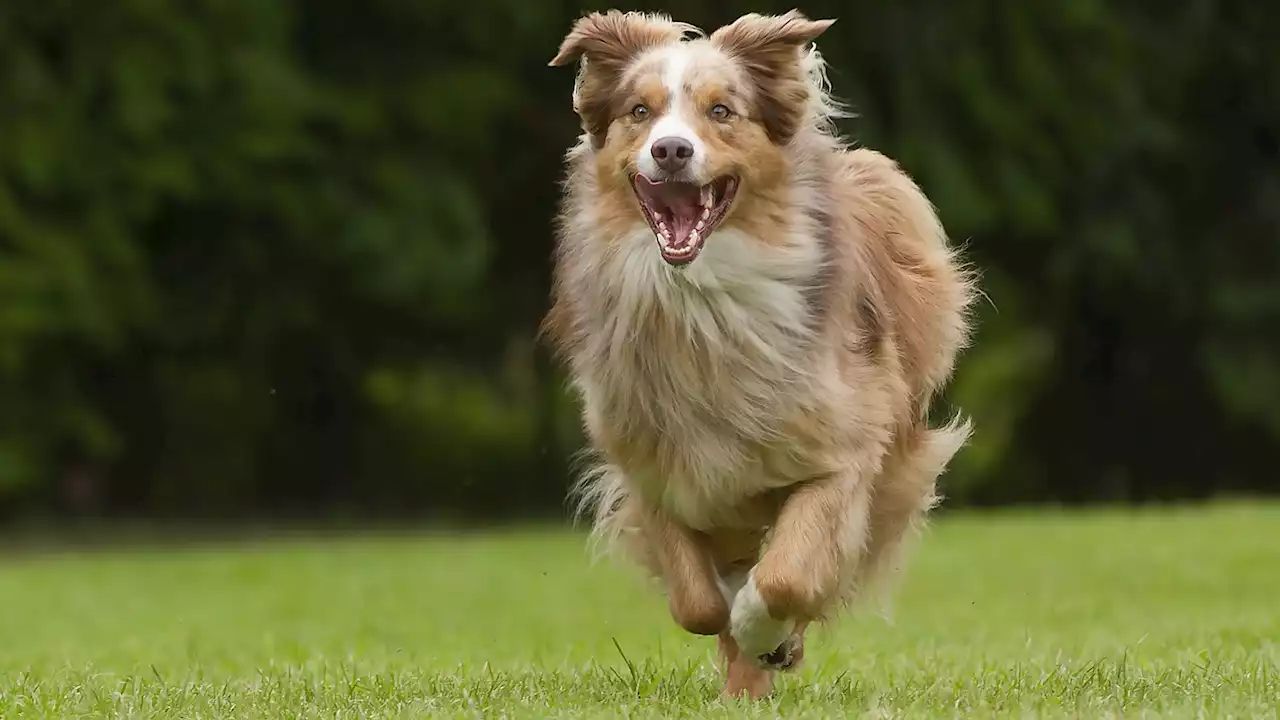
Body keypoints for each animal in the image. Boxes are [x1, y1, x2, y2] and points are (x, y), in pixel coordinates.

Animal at [545, 8, 972, 696]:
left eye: (722, 111)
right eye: (640, 111)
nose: (670, 150)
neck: (701, 296)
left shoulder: (844, 457)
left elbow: (786, 577)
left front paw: (759, 626)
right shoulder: (657, 469)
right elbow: (697, 603)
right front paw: (739, 634)